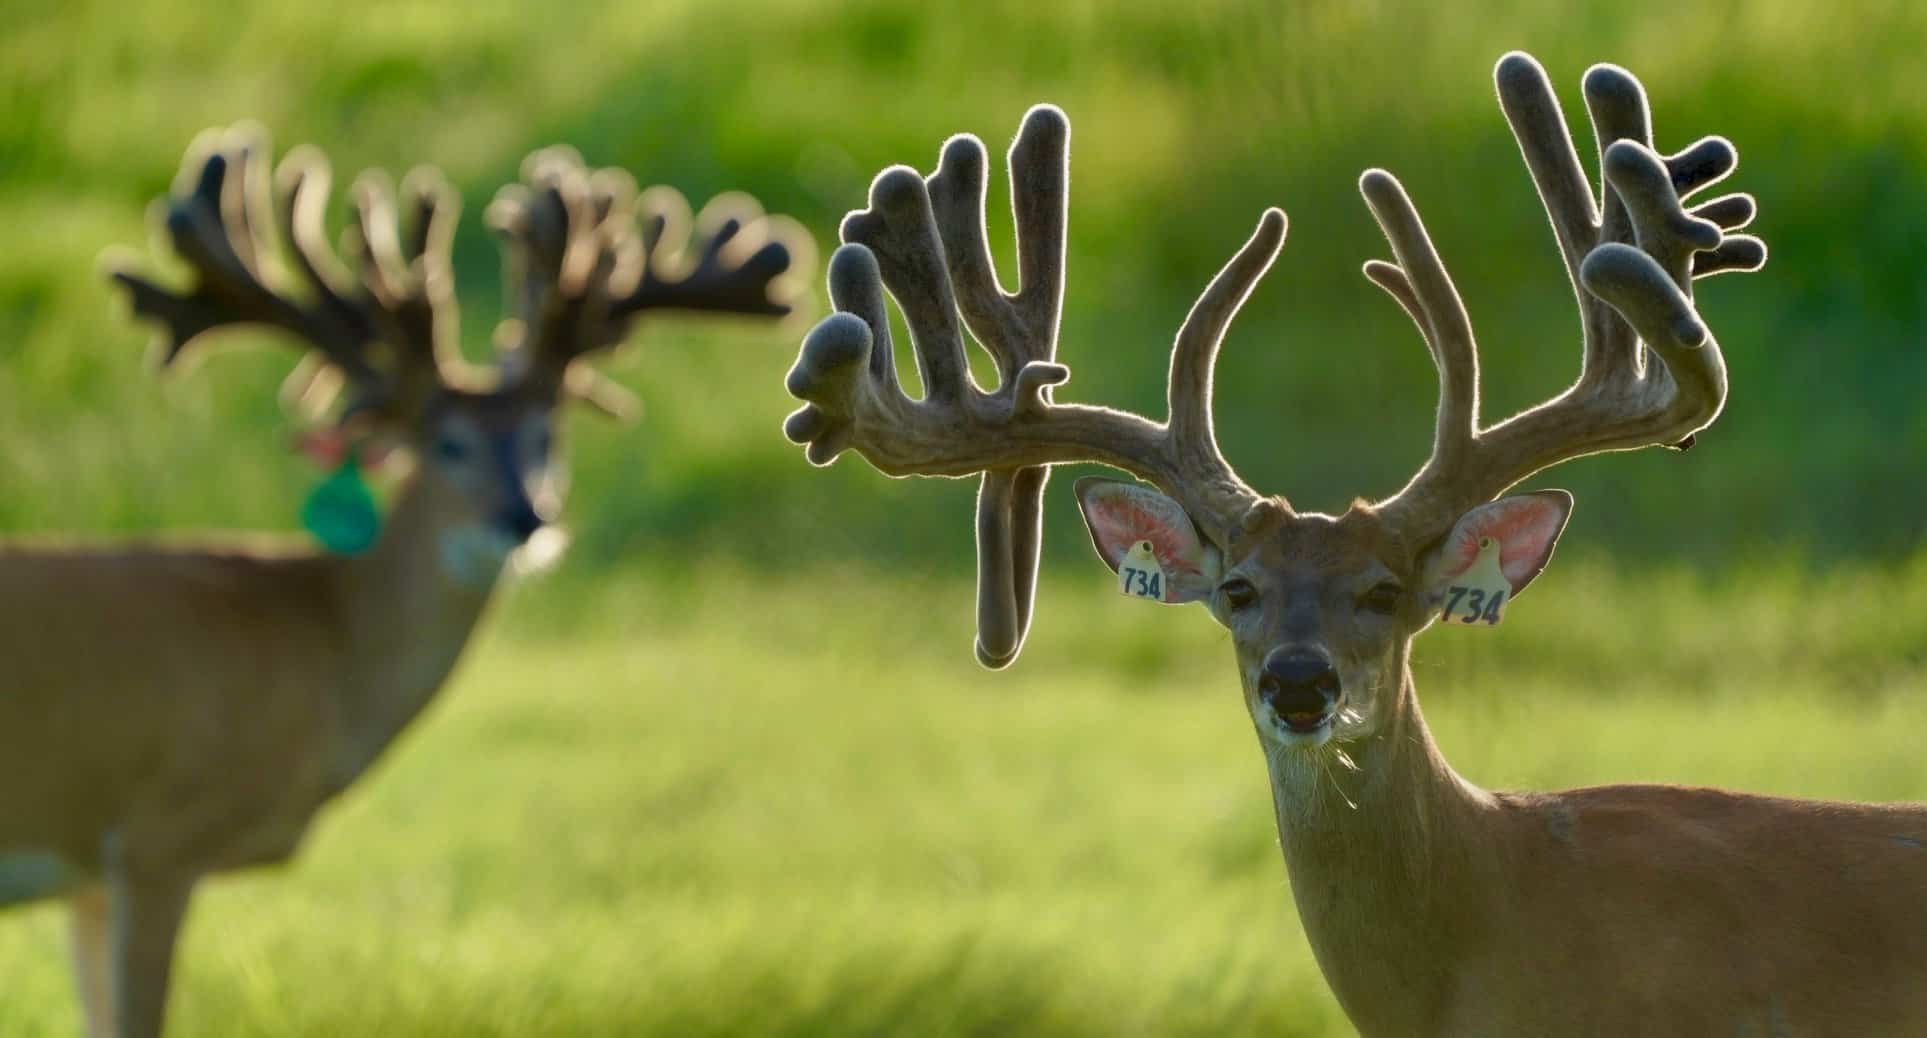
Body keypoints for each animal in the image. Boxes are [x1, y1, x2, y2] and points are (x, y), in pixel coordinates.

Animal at [0, 128, 802, 1037]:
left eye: (546, 434)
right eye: (447, 441)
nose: (524, 518)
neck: (319, 643)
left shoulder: (90, 875)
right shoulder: (155, 835)